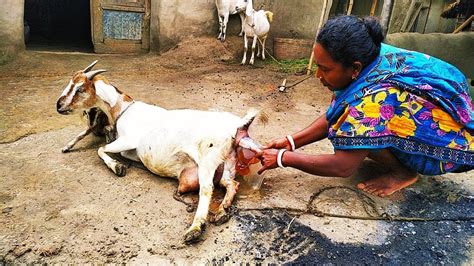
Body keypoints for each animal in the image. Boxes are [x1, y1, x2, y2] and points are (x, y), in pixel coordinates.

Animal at [57, 60, 262, 243]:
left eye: (80, 88)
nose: (58, 106)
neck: (123, 110)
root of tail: (237, 127)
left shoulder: (127, 140)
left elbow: (101, 149)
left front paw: (118, 167)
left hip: (208, 160)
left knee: (207, 189)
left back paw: (195, 229)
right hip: (227, 165)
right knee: (231, 184)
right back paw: (222, 211)